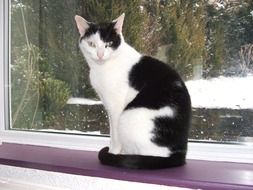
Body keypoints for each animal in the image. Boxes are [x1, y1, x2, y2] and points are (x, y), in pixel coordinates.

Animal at [75, 13, 192, 169]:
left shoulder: (116, 107)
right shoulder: (108, 104)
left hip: (128, 118)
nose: (100, 55)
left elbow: (115, 136)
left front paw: (113, 152)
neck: (102, 68)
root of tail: (180, 154)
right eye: (92, 44)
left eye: (108, 44)